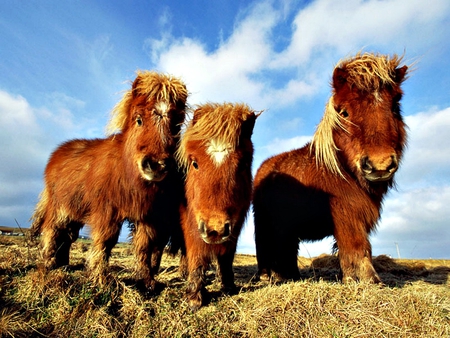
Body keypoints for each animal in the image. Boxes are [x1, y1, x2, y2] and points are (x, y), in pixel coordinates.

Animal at [30, 70, 188, 290]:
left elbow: (145, 246)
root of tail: (57, 154)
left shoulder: (147, 216)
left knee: (67, 236)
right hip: (59, 207)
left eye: (175, 126)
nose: (156, 164)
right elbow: (105, 241)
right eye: (138, 120)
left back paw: (63, 265)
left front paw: (147, 282)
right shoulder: (107, 211)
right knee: (51, 231)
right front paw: (100, 279)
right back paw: (48, 264)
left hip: (75, 211)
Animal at [177, 103, 258, 312]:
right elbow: (197, 256)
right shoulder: (192, 225)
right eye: (194, 163)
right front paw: (194, 298)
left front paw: (229, 287)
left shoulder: (234, 226)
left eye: (243, 164)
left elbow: (226, 257)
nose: (215, 230)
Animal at [253, 52, 408, 284]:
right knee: (266, 247)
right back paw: (267, 277)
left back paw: (290, 276)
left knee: (287, 249)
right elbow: (357, 247)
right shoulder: (346, 216)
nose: (380, 165)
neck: (340, 171)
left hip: (286, 227)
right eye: (344, 112)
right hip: (264, 223)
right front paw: (367, 280)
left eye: (395, 107)